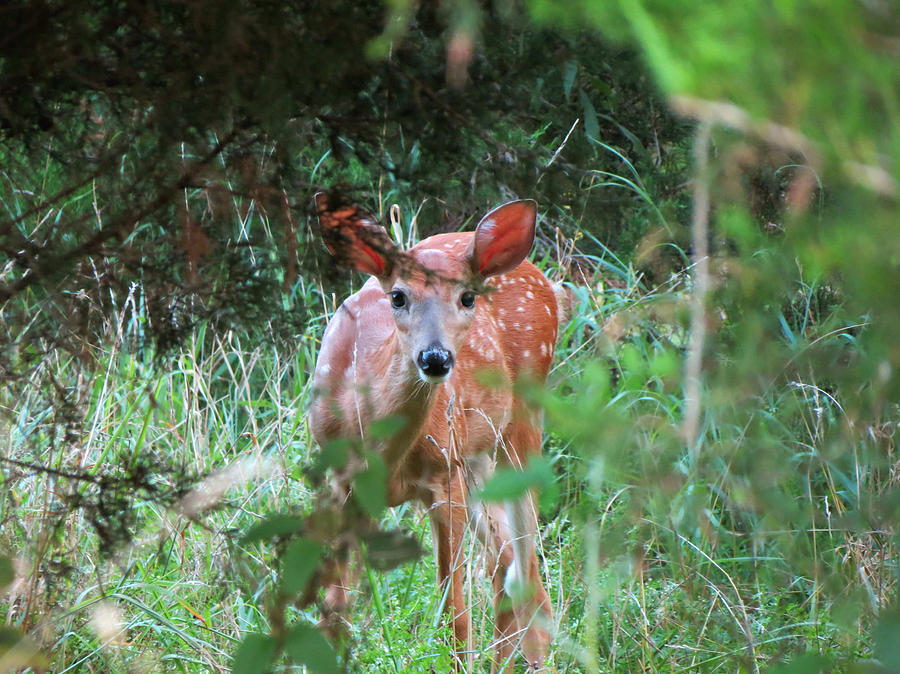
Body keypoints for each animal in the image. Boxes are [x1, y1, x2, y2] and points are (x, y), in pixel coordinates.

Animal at [312, 193, 560, 668]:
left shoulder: (445, 478)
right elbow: (335, 609)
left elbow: (454, 615)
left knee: (526, 572)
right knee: (504, 565)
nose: (435, 358)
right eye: (397, 296)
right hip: (476, 456)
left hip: (522, 421)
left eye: (467, 297)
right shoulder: (341, 485)